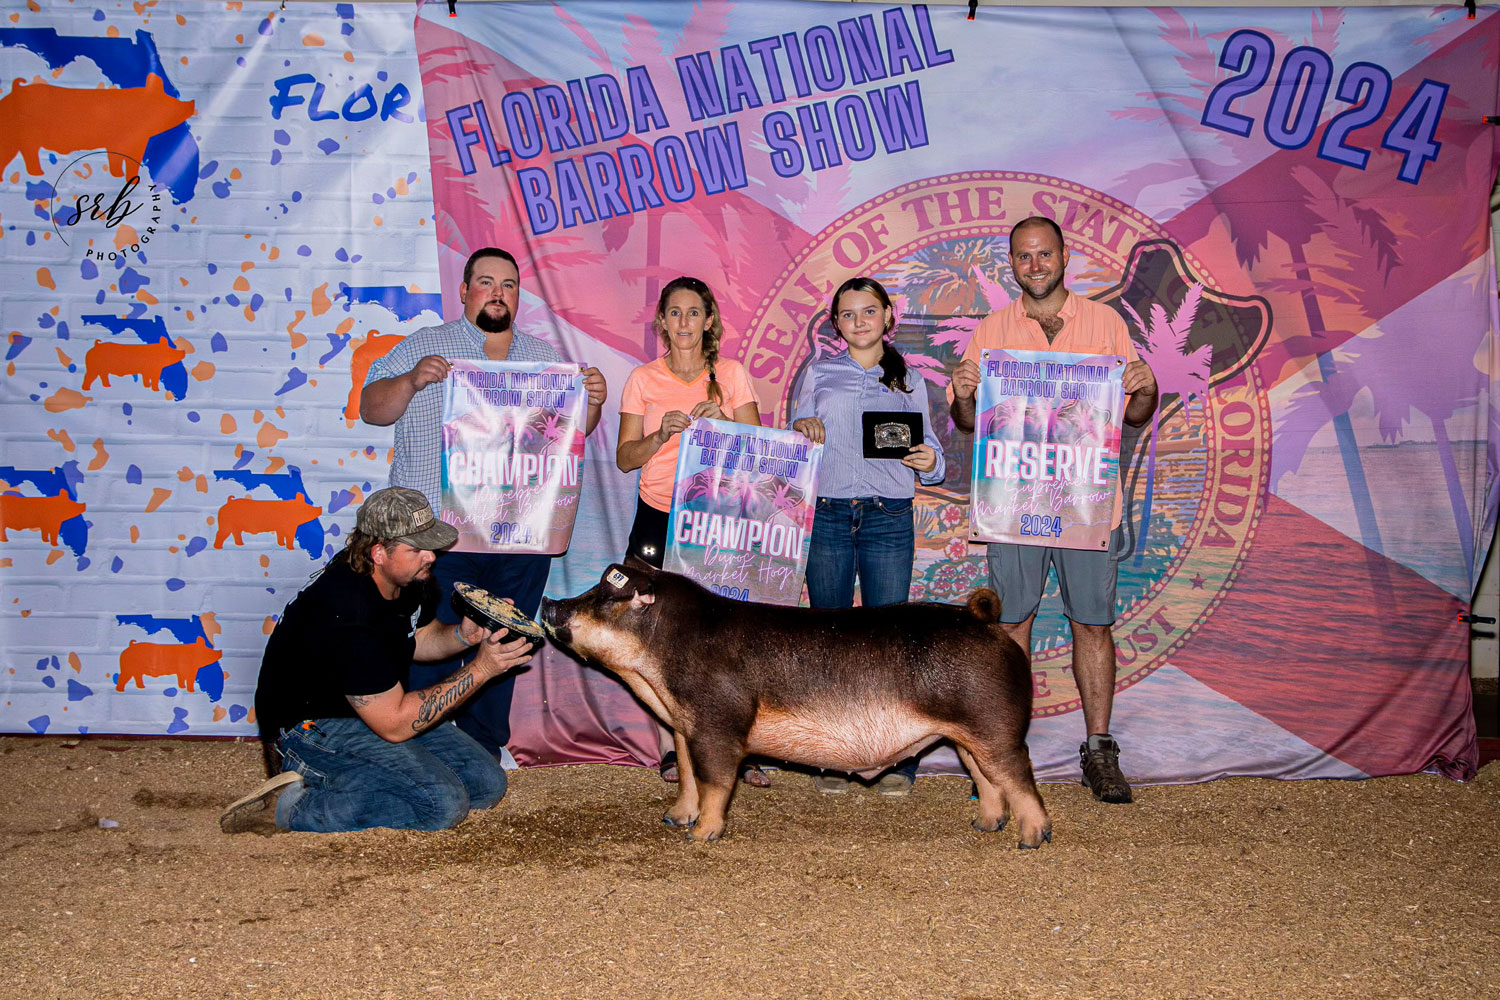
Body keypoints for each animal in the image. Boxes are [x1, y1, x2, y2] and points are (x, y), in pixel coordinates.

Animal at [537, 563, 1044, 845]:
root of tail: (982, 619)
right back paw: (985, 826)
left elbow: (716, 780)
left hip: (995, 725)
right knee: (987, 778)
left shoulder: (720, 723)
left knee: (1019, 775)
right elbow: (686, 775)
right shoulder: (683, 727)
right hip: (965, 735)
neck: (657, 666)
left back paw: (1032, 840)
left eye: (607, 596)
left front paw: (699, 836)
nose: (549, 602)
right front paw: (673, 820)